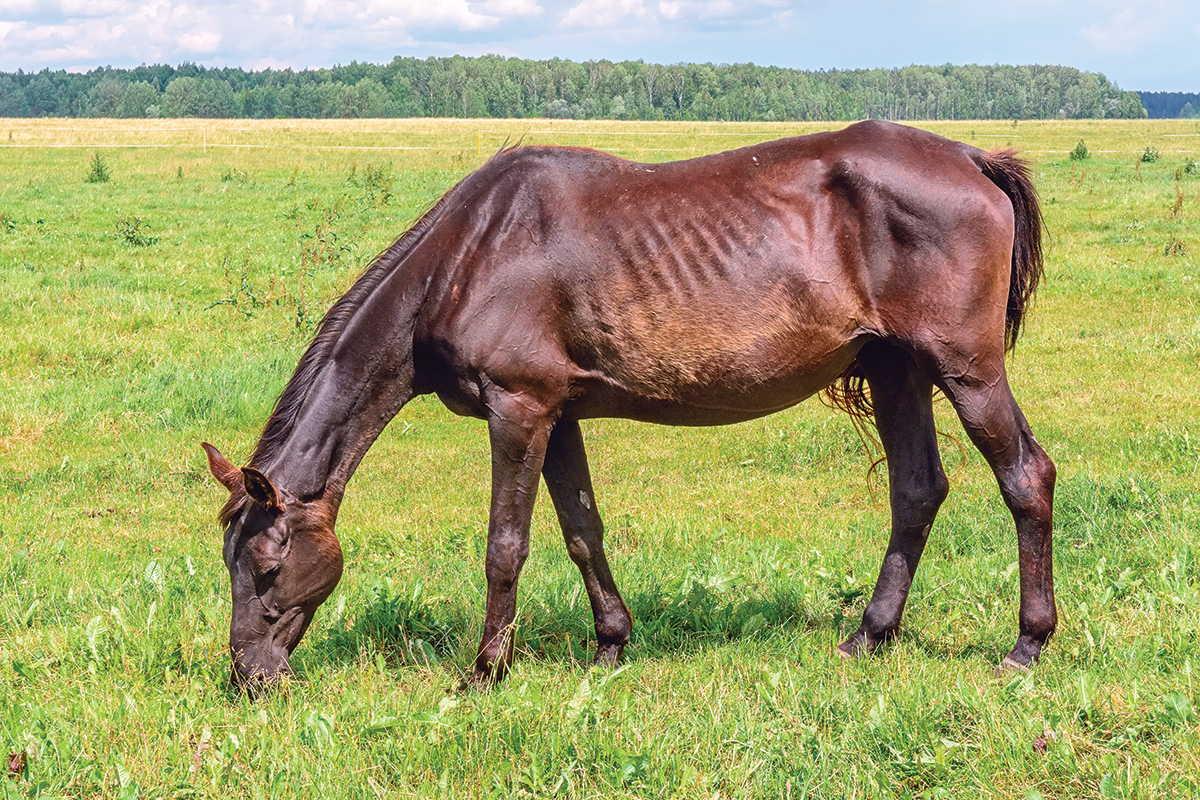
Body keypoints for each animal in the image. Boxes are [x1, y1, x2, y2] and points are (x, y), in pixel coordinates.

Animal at [201, 118, 1056, 690]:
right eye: (229, 561)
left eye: (269, 567)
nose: (250, 678)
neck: (469, 254)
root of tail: (973, 158)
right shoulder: (558, 415)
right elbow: (583, 531)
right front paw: (610, 644)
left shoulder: (519, 410)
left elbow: (505, 545)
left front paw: (484, 671)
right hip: (895, 369)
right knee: (916, 491)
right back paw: (869, 637)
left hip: (965, 369)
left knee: (1027, 478)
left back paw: (1026, 645)